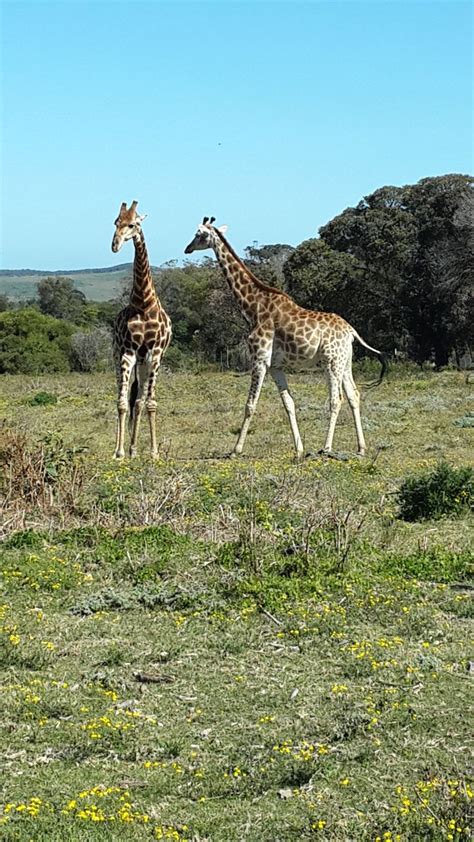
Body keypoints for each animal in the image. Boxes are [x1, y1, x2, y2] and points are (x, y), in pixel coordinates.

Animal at [183, 213, 386, 456]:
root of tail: (351, 331)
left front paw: (236, 450)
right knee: (354, 395)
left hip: (331, 361)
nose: (187, 248)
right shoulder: (275, 366)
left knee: (336, 399)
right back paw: (361, 448)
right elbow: (289, 404)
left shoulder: (259, 359)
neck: (253, 306)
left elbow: (250, 404)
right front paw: (299, 449)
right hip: (345, 361)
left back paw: (327, 447)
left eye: (199, 234)